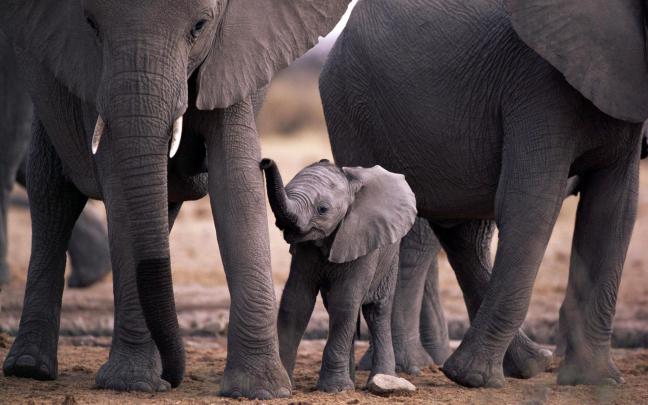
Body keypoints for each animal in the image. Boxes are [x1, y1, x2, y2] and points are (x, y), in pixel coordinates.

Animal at [260, 158, 417, 393]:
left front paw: (334, 389)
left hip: (390, 257)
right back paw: (351, 380)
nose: (265, 161)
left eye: (323, 209)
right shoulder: (305, 249)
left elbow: (345, 301)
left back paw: (381, 379)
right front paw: (287, 384)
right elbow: (296, 302)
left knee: (376, 311)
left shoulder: (362, 238)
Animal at [320, 0, 645, 388]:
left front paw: (594, 381)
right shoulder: (537, 84)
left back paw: (528, 364)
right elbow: (530, 204)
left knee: (462, 233)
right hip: (351, 108)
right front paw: (471, 378)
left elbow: (613, 212)